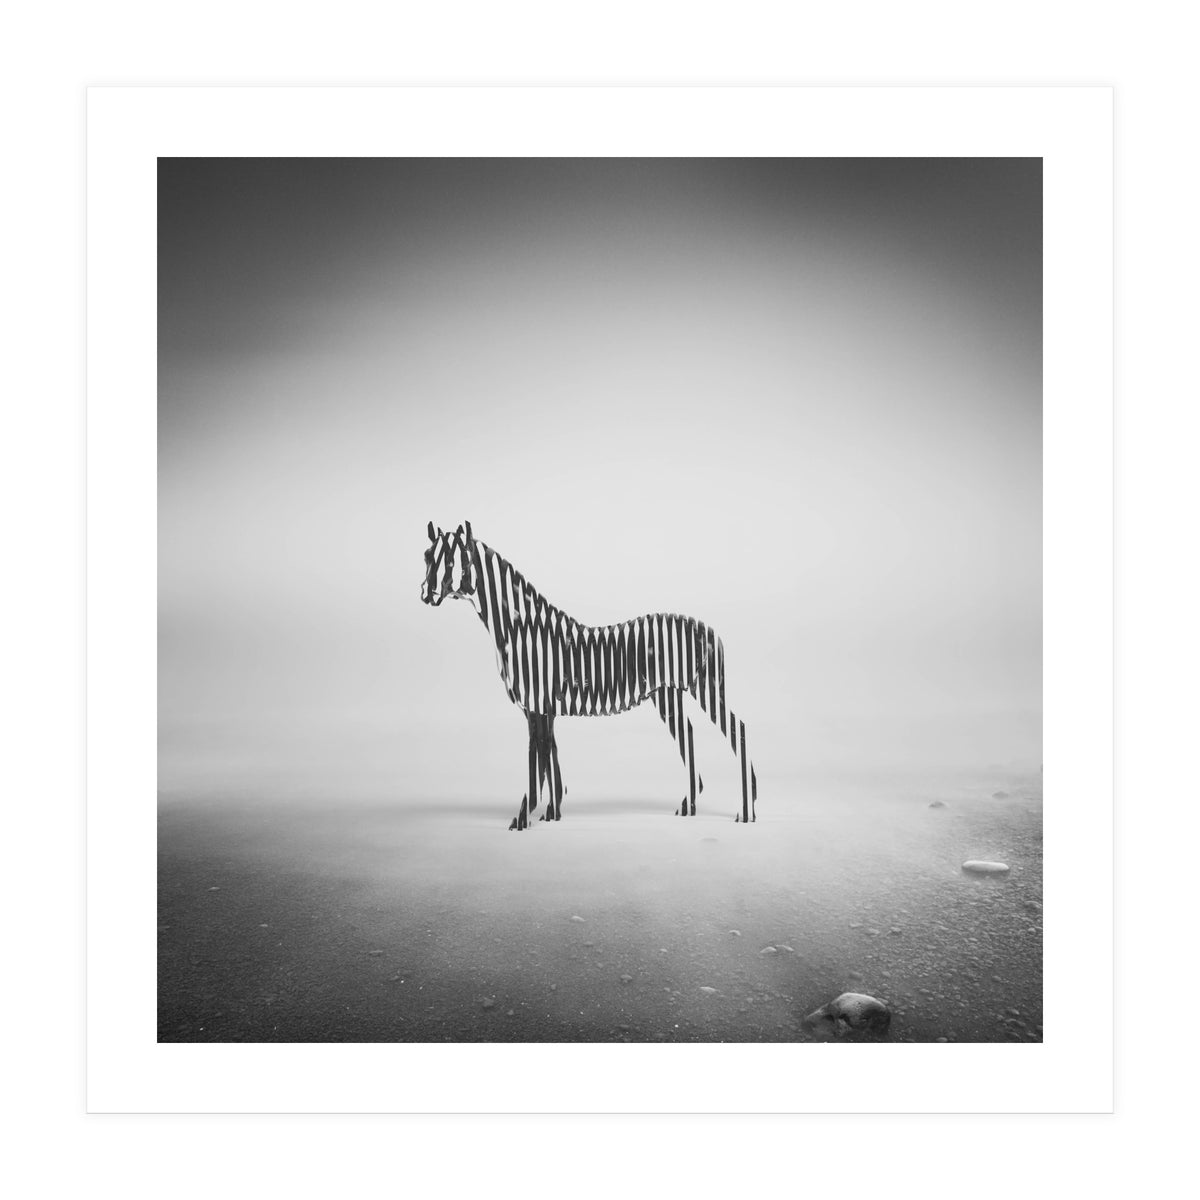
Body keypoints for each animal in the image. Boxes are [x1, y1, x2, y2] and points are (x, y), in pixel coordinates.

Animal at [420, 521, 758, 831]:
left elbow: (537, 764)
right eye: (426, 556)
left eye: (454, 561)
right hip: (667, 695)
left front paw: (523, 818)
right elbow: (550, 761)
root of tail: (710, 630)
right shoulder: (542, 708)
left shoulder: (537, 705)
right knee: (688, 735)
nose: (426, 594)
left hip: (705, 688)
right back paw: (689, 806)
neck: (523, 630)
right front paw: (552, 814)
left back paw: (746, 811)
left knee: (738, 730)